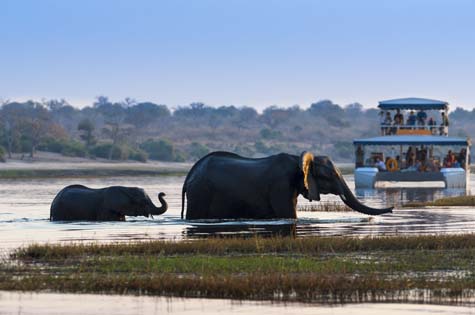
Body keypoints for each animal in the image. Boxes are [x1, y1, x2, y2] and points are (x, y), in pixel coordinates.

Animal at [180, 152, 392, 221]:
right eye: (330, 175)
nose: (391, 208)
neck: (298, 159)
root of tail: (190, 174)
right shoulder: (280, 185)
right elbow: (289, 215)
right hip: (201, 192)